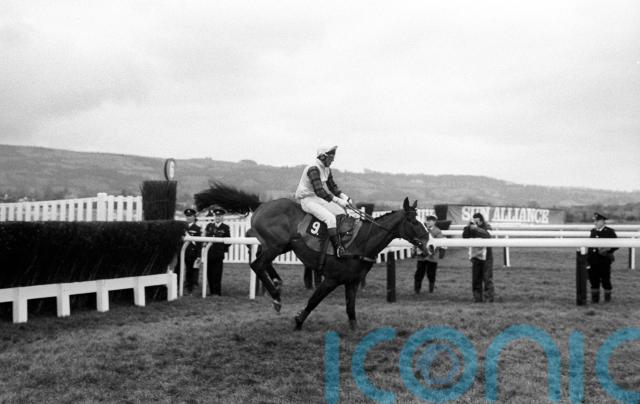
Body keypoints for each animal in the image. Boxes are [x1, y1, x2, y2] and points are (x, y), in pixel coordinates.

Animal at [195, 182, 432, 330]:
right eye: (413, 221)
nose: (428, 242)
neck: (360, 242)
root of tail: (261, 204)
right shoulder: (332, 279)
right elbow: (313, 301)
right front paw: (298, 321)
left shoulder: (352, 282)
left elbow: (350, 307)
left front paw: (355, 329)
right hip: (277, 244)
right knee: (257, 264)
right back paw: (276, 296)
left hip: (281, 245)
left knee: (261, 261)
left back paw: (277, 284)